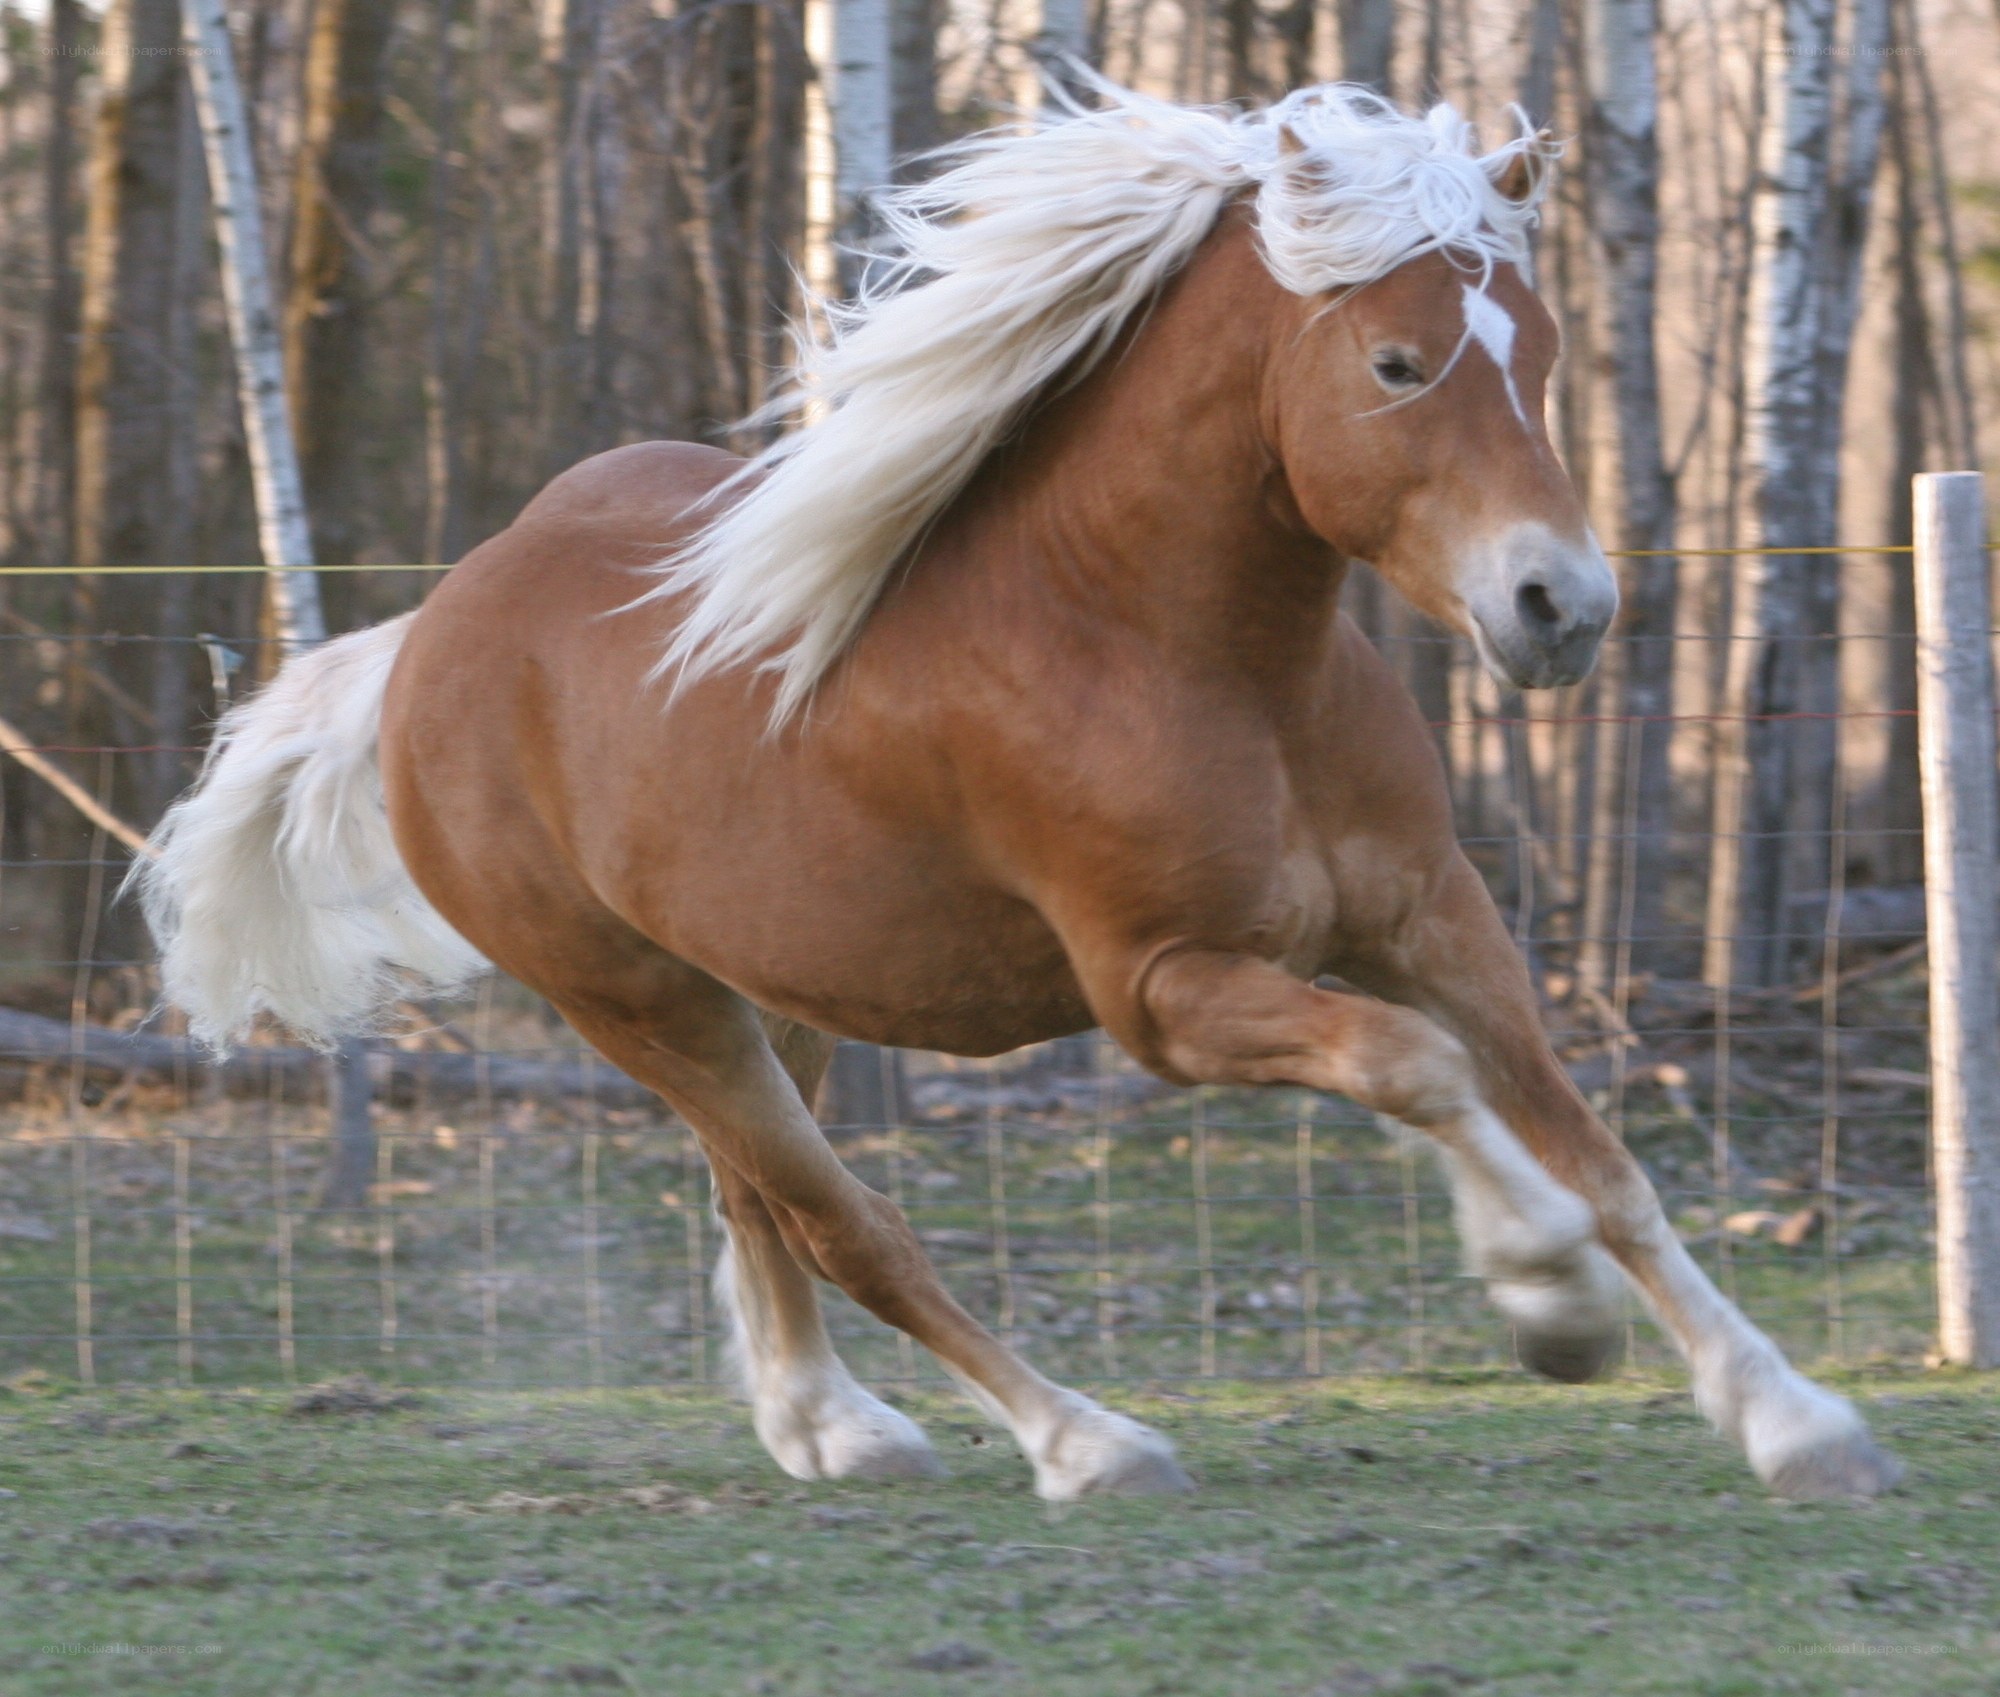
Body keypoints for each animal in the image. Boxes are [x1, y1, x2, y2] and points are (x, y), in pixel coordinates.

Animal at [137, 81, 1898, 1502]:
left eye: (1537, 355)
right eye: (1398, 361)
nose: (1561, 609)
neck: (1182, 655)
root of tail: (430, 635)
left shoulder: (1432, 918)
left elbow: (1602, 1158)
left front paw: (1796, 1421)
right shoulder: (1165, 992)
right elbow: (1420, 1074)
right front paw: (1547, 1302)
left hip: (767, 997)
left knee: (757, 1200)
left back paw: (828, 1427)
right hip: (638, 1005)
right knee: (847, 1221)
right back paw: (1083, 1441)